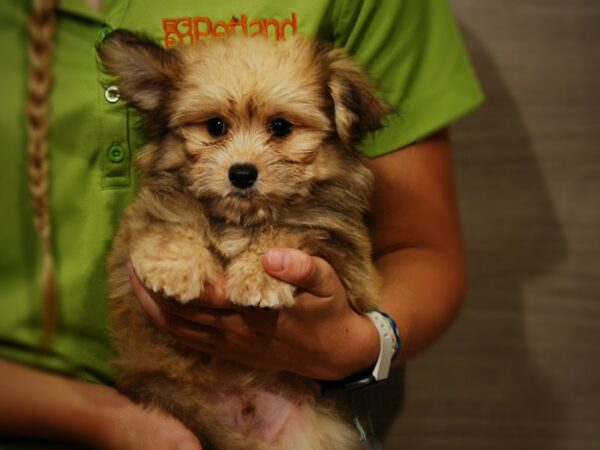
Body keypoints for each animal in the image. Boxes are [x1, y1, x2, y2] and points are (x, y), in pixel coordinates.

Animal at [100, 30, 386, 450]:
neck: (242, 220)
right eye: (215, 126)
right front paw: (176, 271)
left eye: (281, 127)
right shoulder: (147, 217)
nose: (241, 174)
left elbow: (292, 230)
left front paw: (258, 278)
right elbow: (173, 220)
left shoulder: (346, 256)